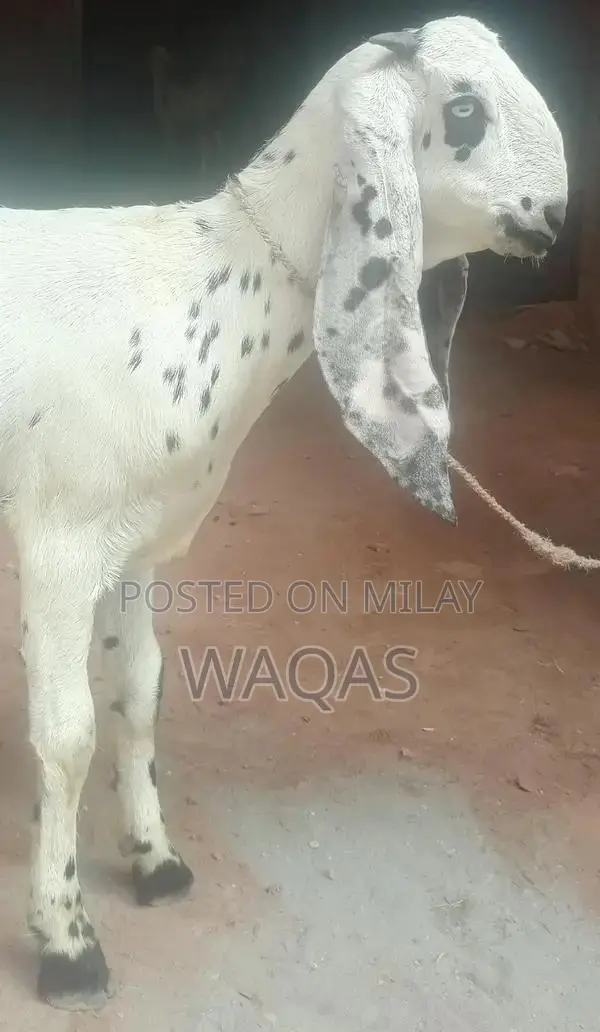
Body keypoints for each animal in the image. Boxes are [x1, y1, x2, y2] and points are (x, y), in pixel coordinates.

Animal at [0, 14, 567, 1010]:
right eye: (464, 110)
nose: (559, 216)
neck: (208, 283)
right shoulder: (61, 541)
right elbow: (67, 736)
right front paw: (67, 944)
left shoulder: (137, 545)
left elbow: (140, 694)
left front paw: (155, 861)